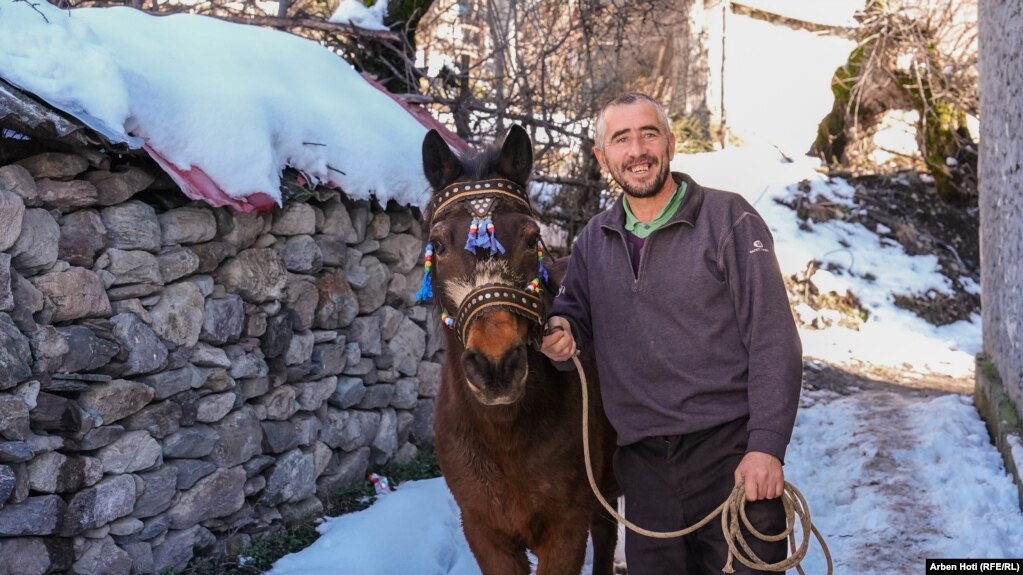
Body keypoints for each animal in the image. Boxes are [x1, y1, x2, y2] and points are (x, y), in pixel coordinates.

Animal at [417, 126, 621, 572]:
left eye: (531, 239)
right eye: (438, 245)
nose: (496, 365)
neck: (504, 438)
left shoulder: (565, 532)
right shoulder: (484, 533)